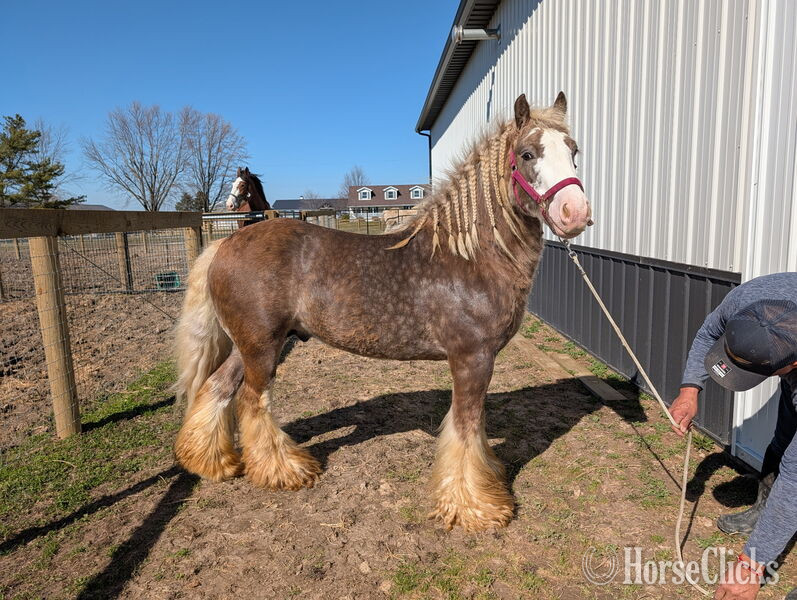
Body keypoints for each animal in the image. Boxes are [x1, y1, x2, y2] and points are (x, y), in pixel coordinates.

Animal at [174, 93, 593, 531]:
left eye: (574, 151)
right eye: (528, 154)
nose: (575, 212)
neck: (469, 255)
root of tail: (225, 243)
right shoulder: (472, 359)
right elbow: (465, 429)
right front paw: (475, 507)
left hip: (248, 345)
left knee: (217, 388)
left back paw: (213, 462)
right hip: (261, 347)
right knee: (253, 401)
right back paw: (284, 471)